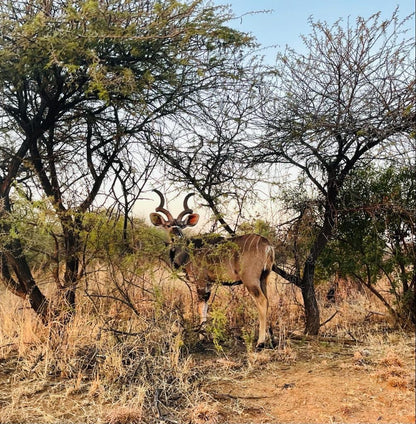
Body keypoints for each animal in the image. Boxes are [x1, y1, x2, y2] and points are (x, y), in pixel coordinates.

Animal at [150, 191, 276, 348]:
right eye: (168, 225)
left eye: (182, 225)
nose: (176, 234)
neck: (188, 252)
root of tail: (267, 245)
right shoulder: (208, 283)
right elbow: (205, 307)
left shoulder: (201, 281)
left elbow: (200, 307)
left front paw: (202, 337)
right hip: (264, 278)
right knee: (268, 301)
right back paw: (272, 340)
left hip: (250, 280)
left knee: (262, 301)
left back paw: (260, 342)